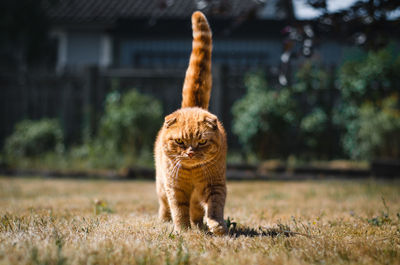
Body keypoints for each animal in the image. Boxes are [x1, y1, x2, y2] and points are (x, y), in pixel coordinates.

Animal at [154, 11, 228, 234]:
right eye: (179, 142)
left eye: (202, 142)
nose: (191, 153)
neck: (193, 173)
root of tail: (191, 106)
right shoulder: (175, 189)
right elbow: (178, 210)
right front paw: (182, 230)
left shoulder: (215, 185)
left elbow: (215, 206)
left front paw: (216, 225)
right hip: (161, 186)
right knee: (164, 206)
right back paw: (166, 221)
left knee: (196, 210)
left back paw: (199, 225)